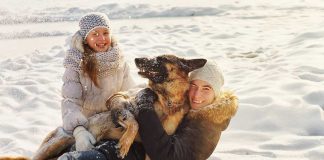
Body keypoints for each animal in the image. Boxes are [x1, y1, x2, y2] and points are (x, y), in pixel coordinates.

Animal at [5, 54, 205, 159]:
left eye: (160, 58)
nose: (136, 59)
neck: (166, 100)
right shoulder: (121, 101)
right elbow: (134, 122)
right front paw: (124, 143)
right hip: (55, 144)